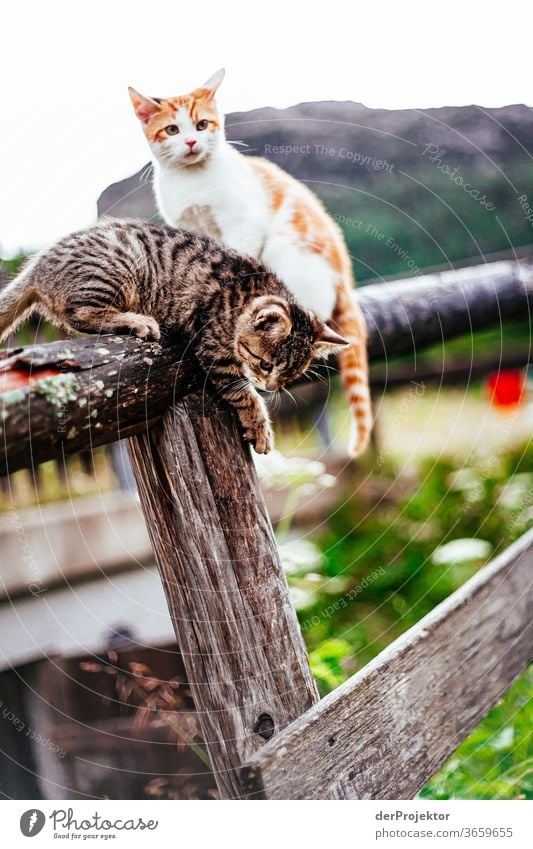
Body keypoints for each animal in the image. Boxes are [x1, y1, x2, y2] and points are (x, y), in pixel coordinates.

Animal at [0, 222, 348, 454]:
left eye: (289, 376)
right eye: (265, 364)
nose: (272, 386)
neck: (247, 293)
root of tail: (38, 265)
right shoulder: (214, 350)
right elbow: (243, 393)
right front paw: (259, 425)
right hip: (114, 269)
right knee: (81, 313)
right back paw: (138, 321)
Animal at [128, 71, 370, 458]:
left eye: (202, 124)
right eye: (172, 130)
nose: (192, 141)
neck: (193, 183)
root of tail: (344, 278)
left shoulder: (243, 224)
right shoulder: (188, 226)